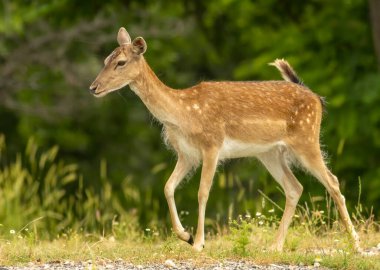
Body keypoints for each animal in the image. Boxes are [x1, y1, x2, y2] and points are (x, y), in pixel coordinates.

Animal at [89, 27, 362, 253]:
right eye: (105, 60)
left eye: (121, 62)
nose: (93, 87)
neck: (182, 114)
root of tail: (316, 97)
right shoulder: (187, 154)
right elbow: (167, 187)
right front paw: (185, 235)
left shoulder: (212, 144)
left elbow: (202, 192)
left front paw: (198, 242)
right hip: (269, 153)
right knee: (294, 187)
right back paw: (275, 246)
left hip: (306, 139)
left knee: (333, 182)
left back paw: (355, 244)